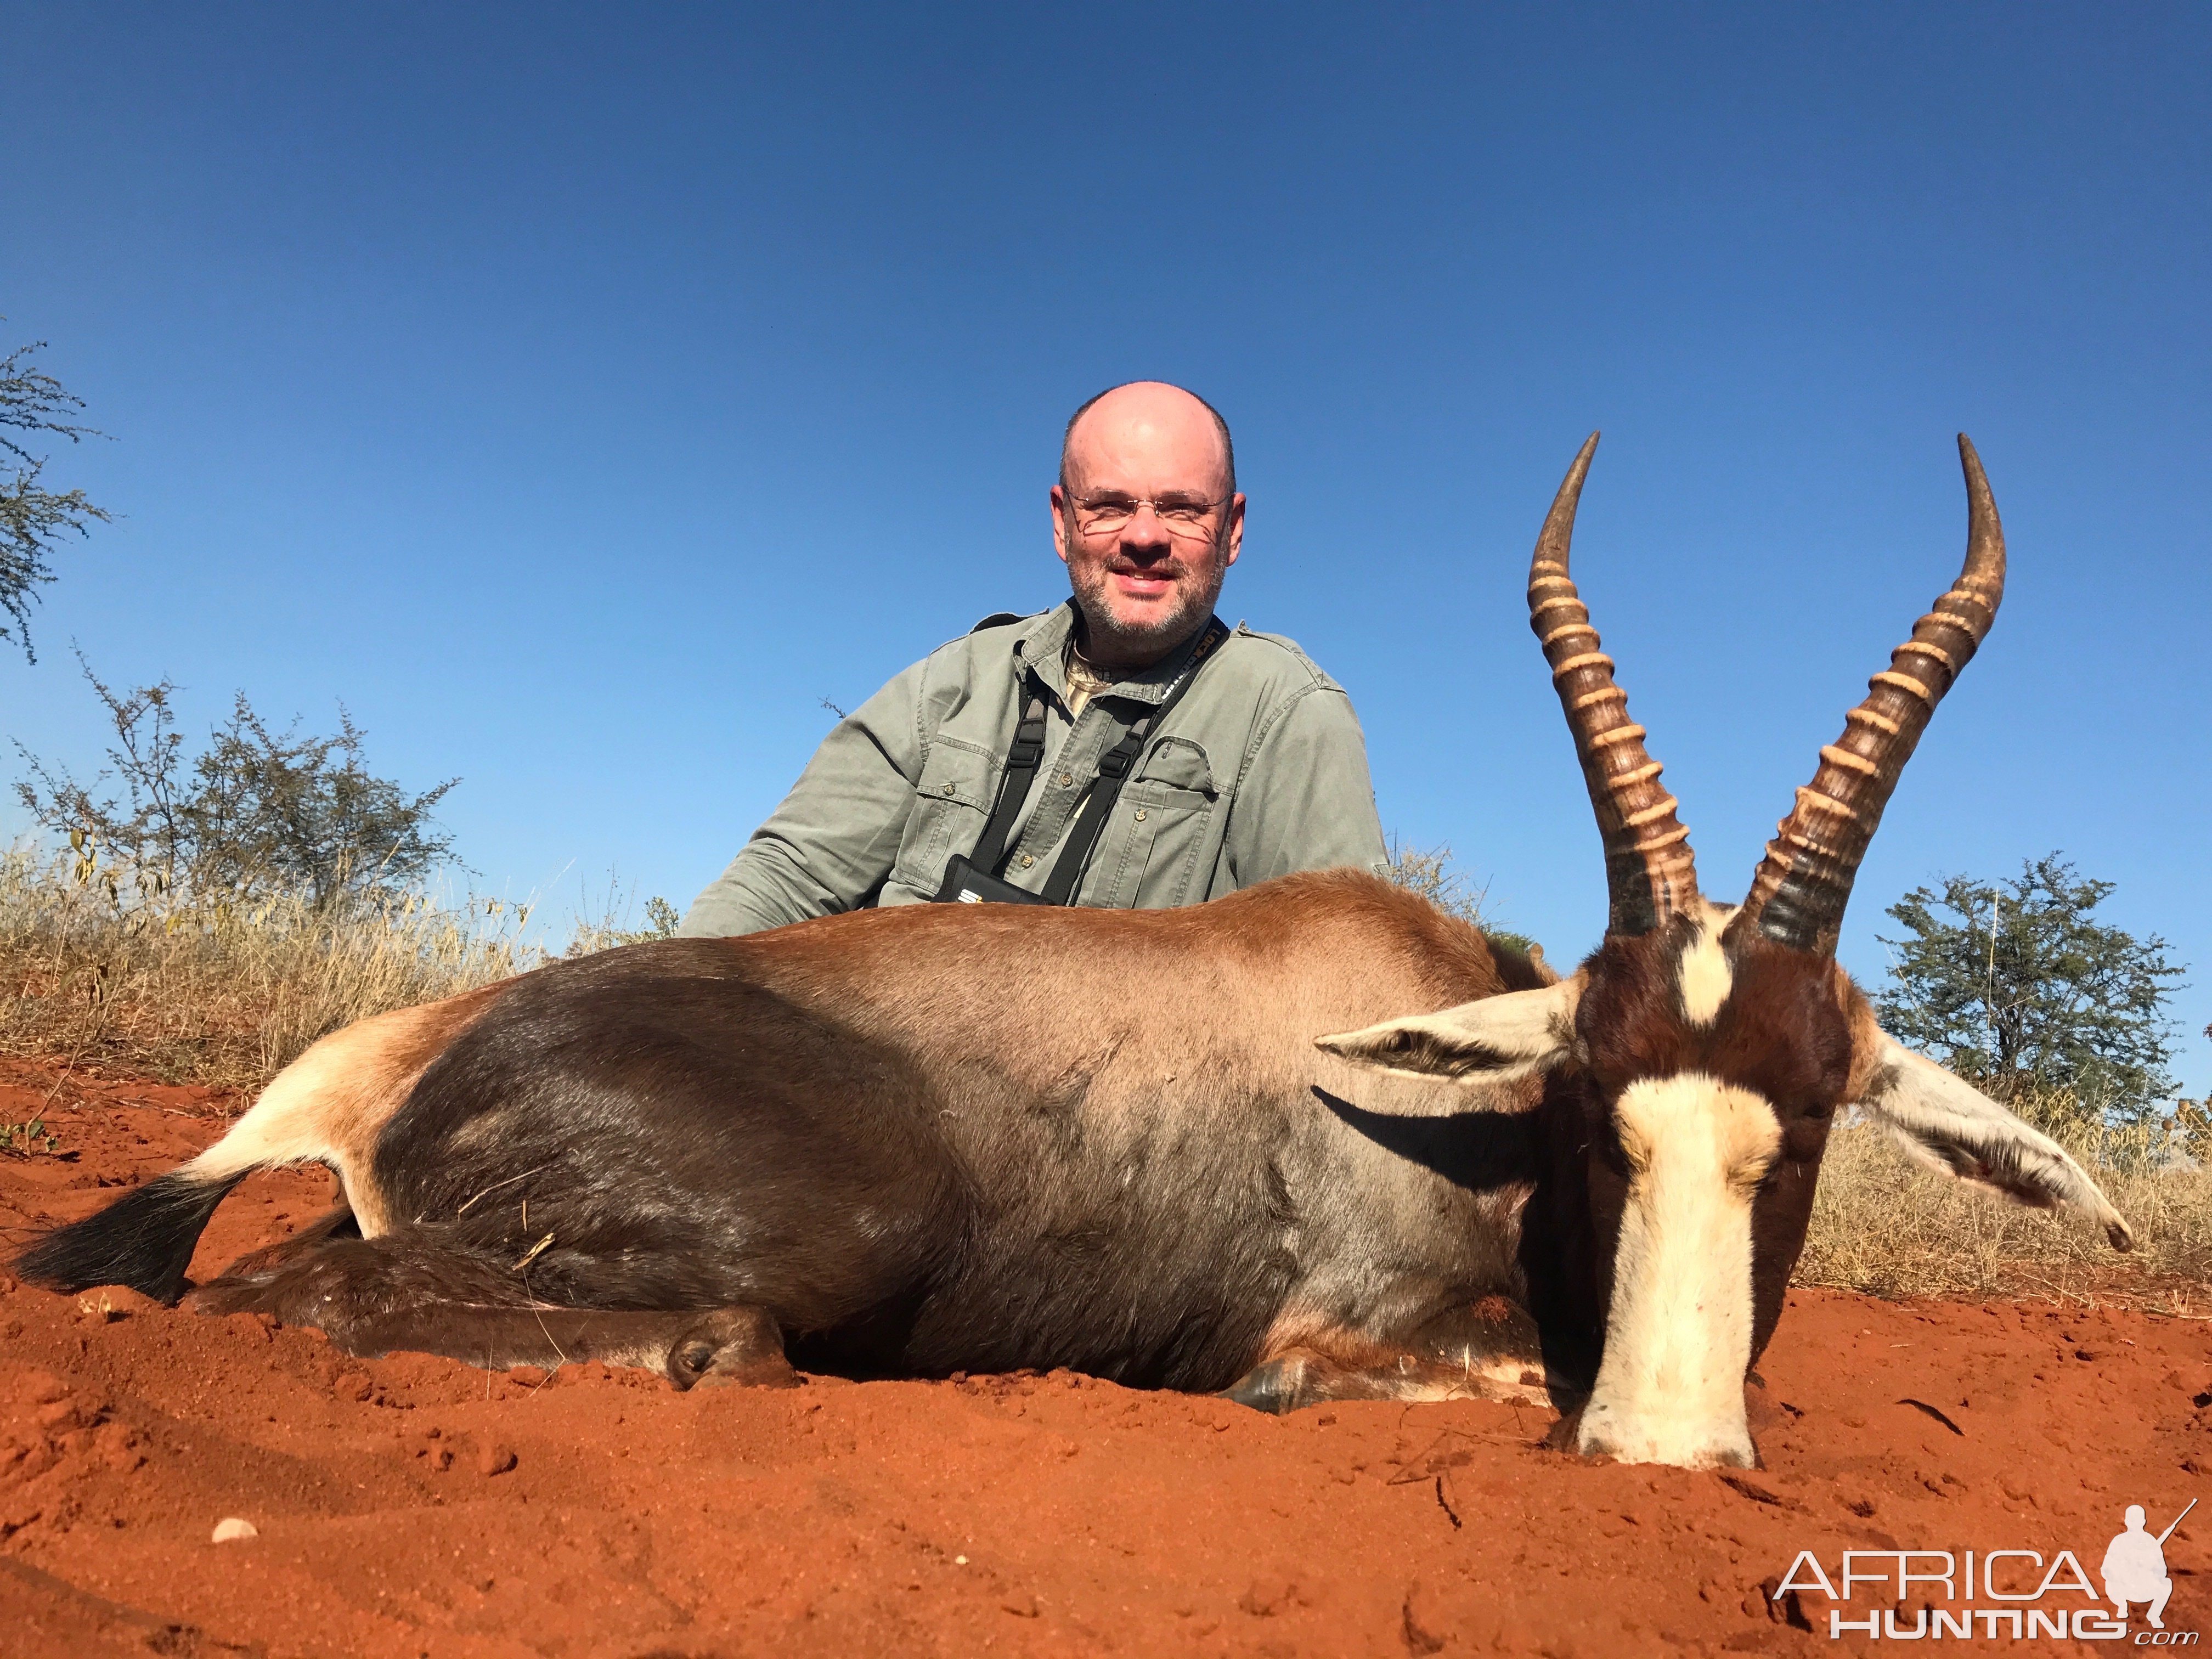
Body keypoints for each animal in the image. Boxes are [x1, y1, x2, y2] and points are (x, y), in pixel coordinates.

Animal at [17, 431, 2123, 1469]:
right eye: (1591, 1090)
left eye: (1818, 1104)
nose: (1665, 1447)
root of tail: (401, 1056)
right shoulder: (1328, 1341)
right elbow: (1451, 1376)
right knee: (283, 1292)